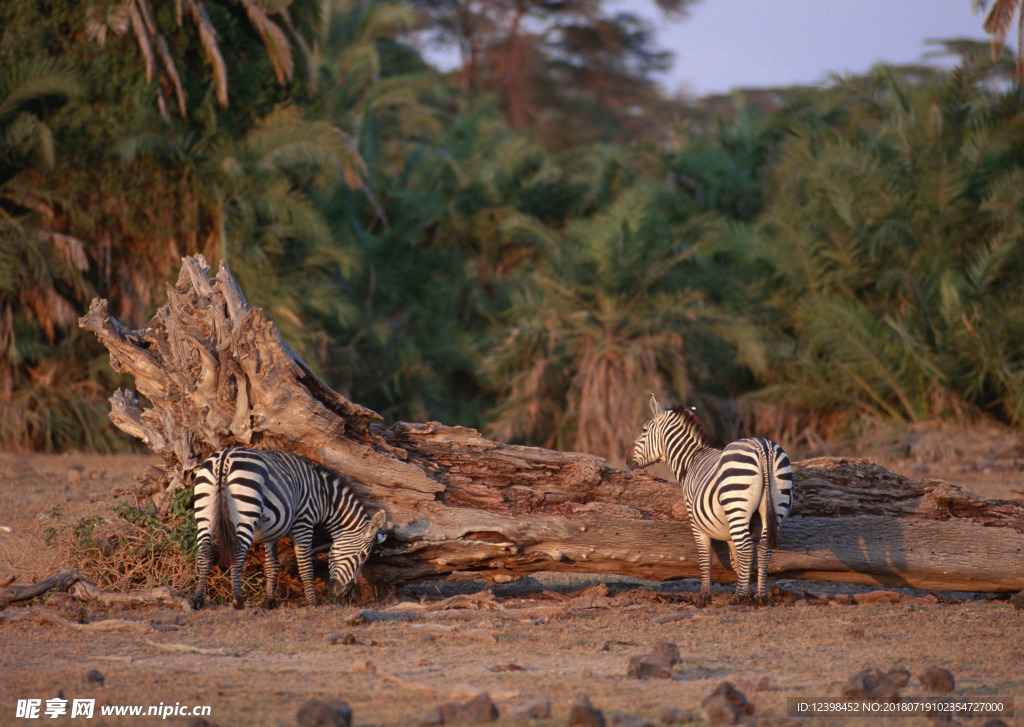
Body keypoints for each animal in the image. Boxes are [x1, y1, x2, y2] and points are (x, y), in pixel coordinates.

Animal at [190, 450, 385, 610]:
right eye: (363, 556)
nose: (345, 593)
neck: (324, 498)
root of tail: (224, 458)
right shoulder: (304, 523)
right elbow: (305, 566)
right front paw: (313, 602)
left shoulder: (271, 531)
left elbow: (271, 565)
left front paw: (269, 601)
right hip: (246, 510)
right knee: (237, 552)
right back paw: (238, 600)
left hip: (204, 509)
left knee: (205, 552)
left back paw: (198, 600)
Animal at [622, 395, 790, 606]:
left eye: (644, 430)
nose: (627, 460)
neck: (691, 461)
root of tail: (763, 447)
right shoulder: (727, 530)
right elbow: (735, 560)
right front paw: (749, 592)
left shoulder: (696, 521)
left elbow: (704, 559)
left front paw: (704, 596)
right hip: (775, 508)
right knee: (762, 549)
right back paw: (762, 597)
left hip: (737, 506)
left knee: (746, 548)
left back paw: (737, 598)